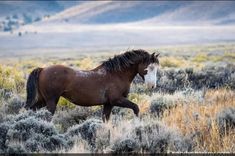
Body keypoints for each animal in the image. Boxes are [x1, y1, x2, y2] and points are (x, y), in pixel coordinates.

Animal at [25, 49, 160, 122]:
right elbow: (136, 108)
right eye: (149, 68)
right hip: (51, 101)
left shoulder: (108, 104)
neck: (116, 74)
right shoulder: (117, 100)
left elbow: (105, 120)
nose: (152, 86)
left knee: (30, 109)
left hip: (43, 100)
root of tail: (43, 69)